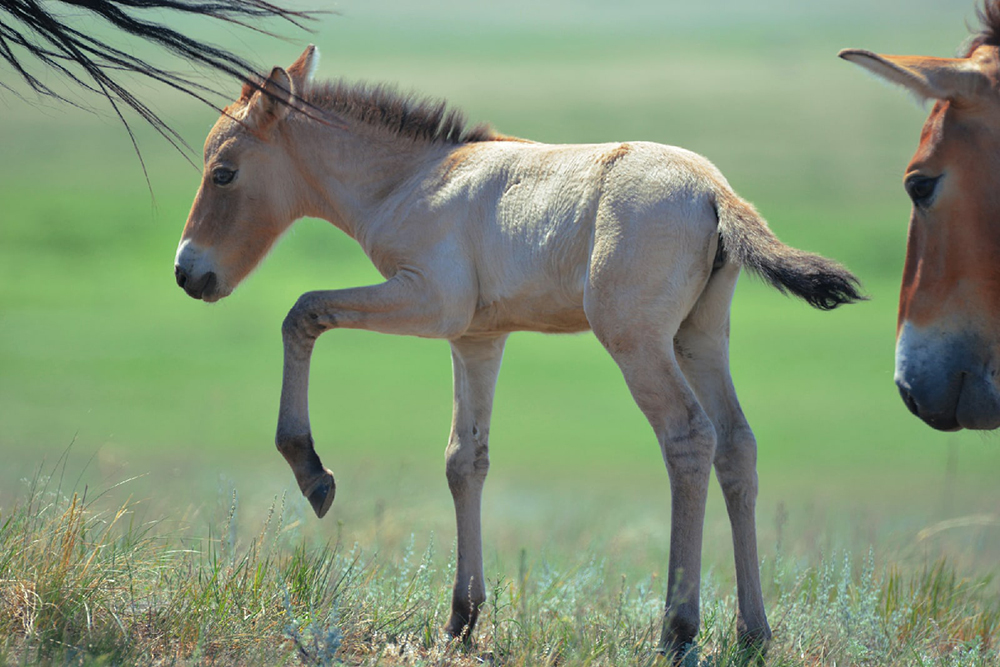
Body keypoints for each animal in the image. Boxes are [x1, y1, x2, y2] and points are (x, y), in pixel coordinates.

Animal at [172, 47, 860, 656]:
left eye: (224, 172)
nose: (187, 273)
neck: (414, 179)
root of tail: (715, 192)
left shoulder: (430, 302)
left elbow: (304, 313)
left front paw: (311, 470)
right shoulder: (476, 337)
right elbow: (464, 459)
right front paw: (461, 620)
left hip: (636, 343)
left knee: (689, 437)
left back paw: (677, 631)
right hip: (699, 339)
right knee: (736, 444)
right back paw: (752, 634)